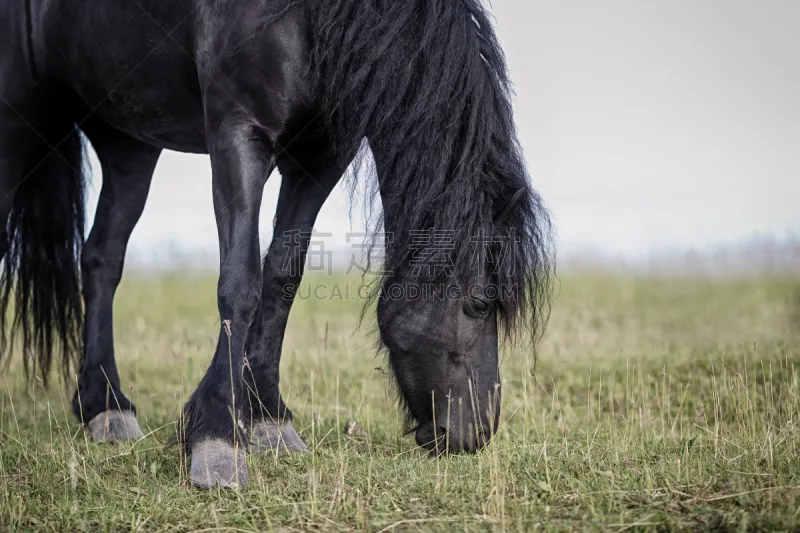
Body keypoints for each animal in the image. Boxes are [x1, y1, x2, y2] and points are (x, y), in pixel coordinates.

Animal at [0, 0, 552, 486]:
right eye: (479, 302)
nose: (477, 433)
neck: (309, 14)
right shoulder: (238, 134)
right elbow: (240, 282)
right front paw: (218, 439)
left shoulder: (320, 156)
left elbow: (282, 277)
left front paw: (268, 416)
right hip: (20, 118)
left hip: (128, 140)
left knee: (102, 259)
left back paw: (107, 407)